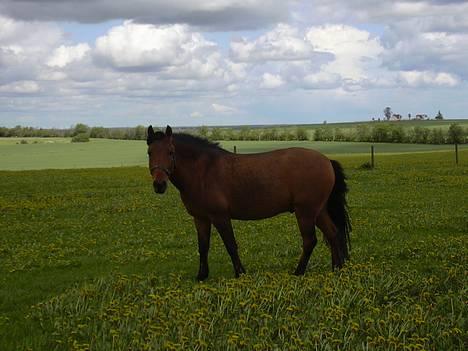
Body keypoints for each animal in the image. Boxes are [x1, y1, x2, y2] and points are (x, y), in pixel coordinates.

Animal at [147, 125, 352, 282]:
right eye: (149, 152)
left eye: (170, 152)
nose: (159, 185)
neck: (203, 170)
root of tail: (326, 160)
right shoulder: (200, 218)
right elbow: (203, 247)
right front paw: (201, 276)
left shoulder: (220, 217)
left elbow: (231, 245)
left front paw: (240, 273)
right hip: (319, 211)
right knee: (333, 234)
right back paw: (337, 268)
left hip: (306, 212)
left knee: (310, 241)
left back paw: (298, 272)